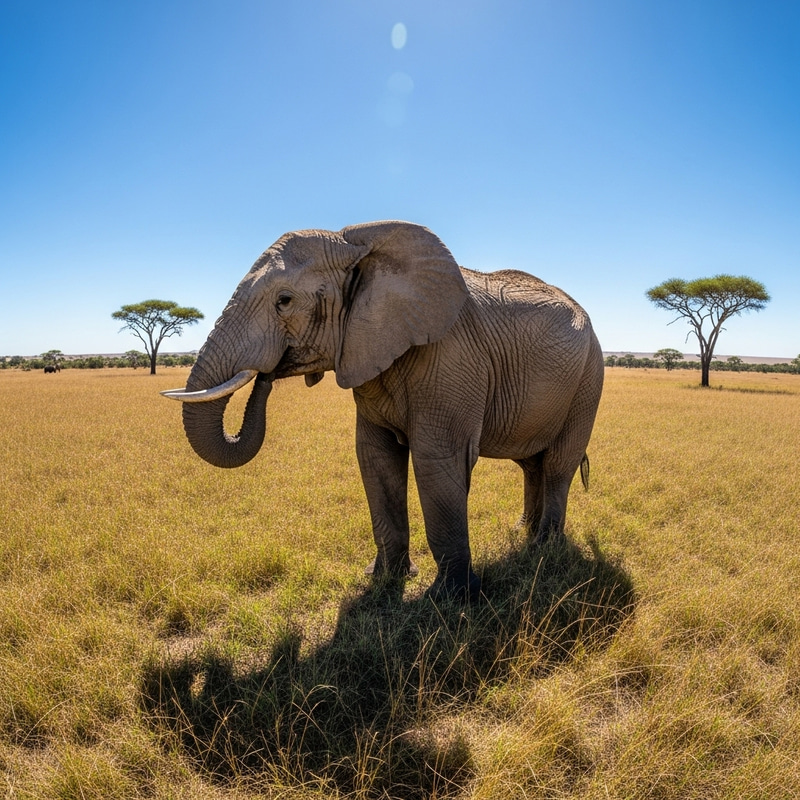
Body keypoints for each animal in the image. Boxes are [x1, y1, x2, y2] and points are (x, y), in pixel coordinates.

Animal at [162, 221, 604, 600]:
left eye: (284, 302)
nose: (266, 375)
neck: (358, 248)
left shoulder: (451, 358)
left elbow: (435, 461)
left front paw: (451, 600)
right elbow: (375, 458)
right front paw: (384, 579)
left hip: (589, 379)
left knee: (558, 465)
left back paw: (544, 550)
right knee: (531, 464)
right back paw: (523, 534)